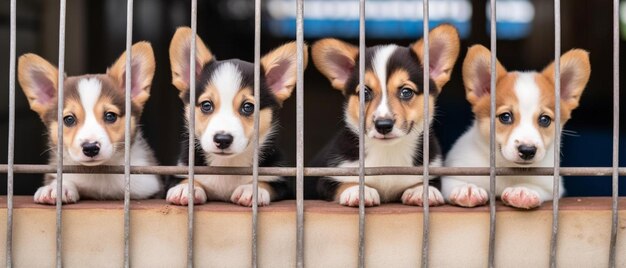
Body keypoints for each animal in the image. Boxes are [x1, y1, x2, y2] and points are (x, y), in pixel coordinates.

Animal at [163, 27, 304, 206]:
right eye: (206, 105)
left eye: (248, 107)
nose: (222, 139)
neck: (227, 165)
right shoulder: (180, 169)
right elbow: (185, 179)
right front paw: (186, 188)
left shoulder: (281, 180)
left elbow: (266, 182)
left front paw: (252, 190)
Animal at [308, 24, 458, 206]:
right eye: (364, 93)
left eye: (406, 92)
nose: (383, 126)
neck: (388, 151)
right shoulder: (328, 176)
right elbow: (342, 183)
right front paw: (357, 191)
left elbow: (428, 182)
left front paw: (422, 191)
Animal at [438, 44, 588, 209]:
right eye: (505, 117)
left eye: (545, 120)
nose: (527, 150)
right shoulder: (451, 175)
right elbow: (456, 183)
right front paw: (467, 188)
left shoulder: (552, 186)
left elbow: (536, 188)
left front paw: (523, 190)